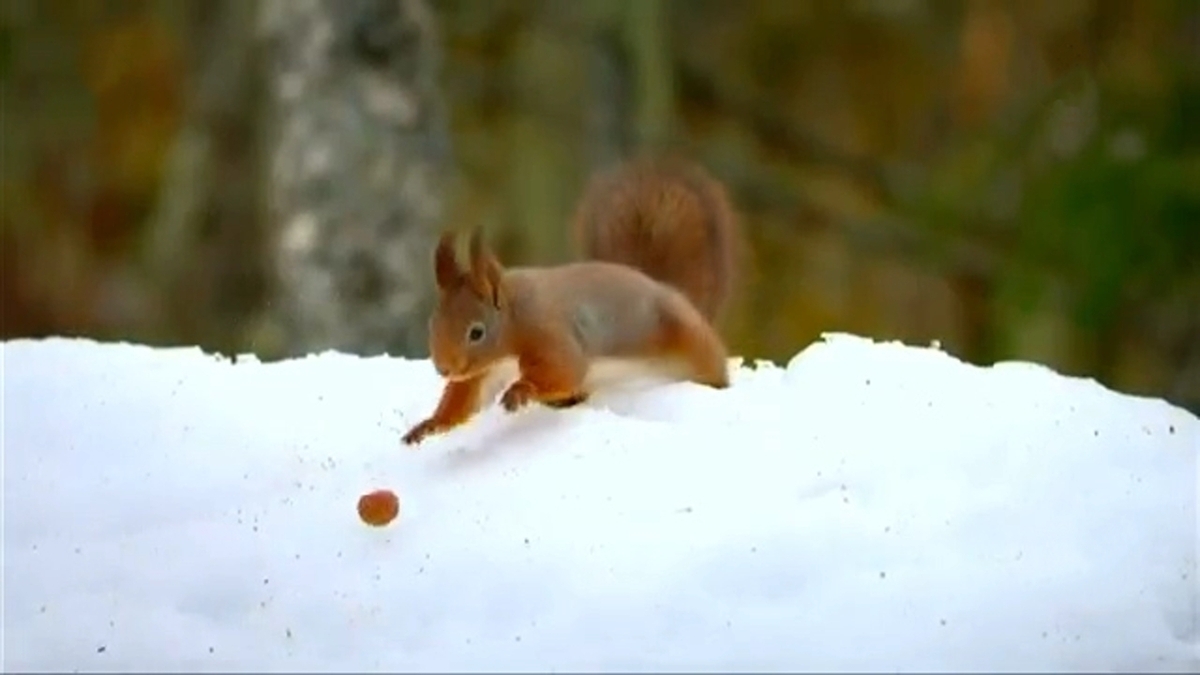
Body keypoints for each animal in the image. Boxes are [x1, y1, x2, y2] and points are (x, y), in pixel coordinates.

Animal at [403, 154, 739, 444]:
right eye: (432, 324)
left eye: (477, 332)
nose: (444, 369)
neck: (513, 319)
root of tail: (664, 287)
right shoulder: (483, 373)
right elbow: (464, 403)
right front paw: (429, 424)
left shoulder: (549, 333)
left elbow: (566, 370)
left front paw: (521, 390)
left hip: (691, 340)